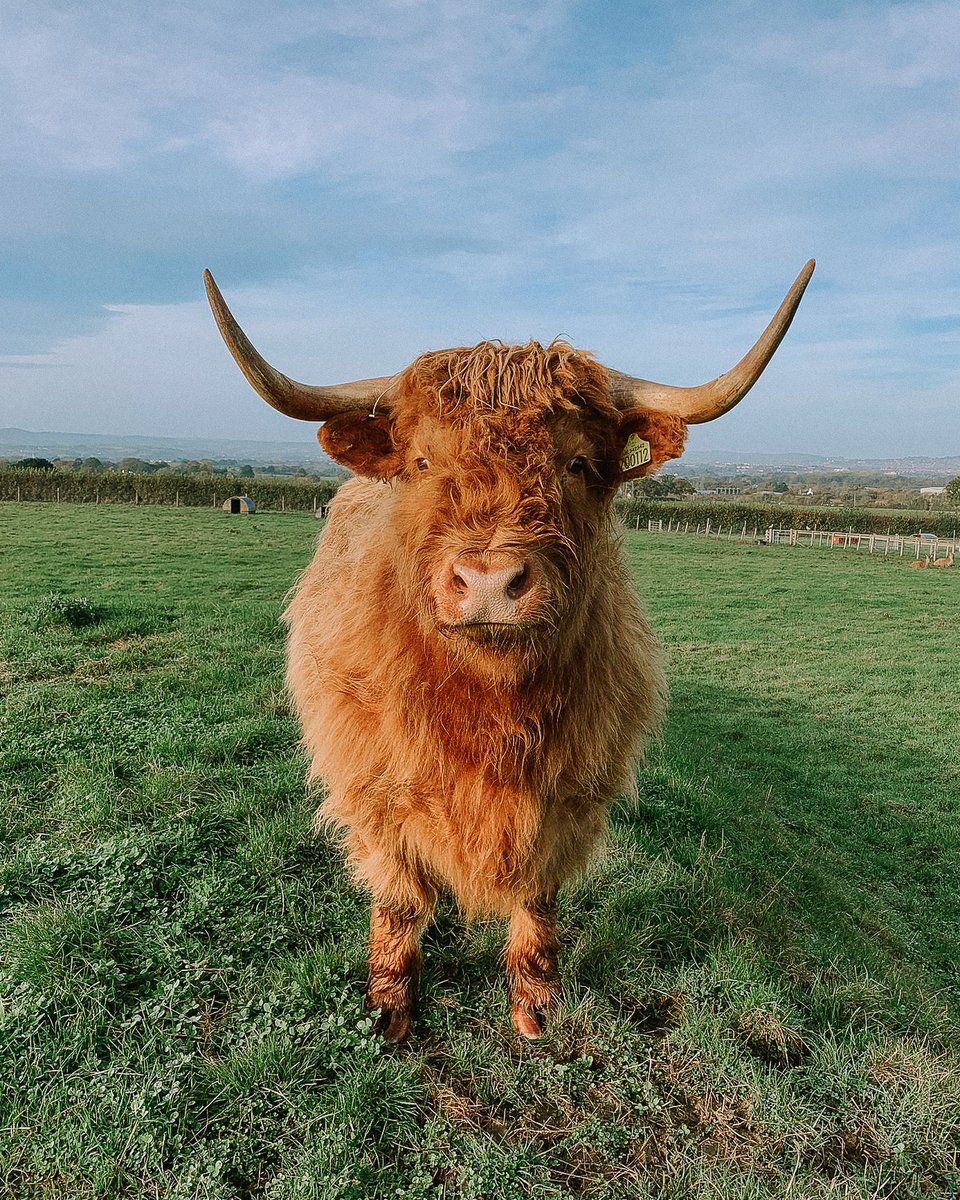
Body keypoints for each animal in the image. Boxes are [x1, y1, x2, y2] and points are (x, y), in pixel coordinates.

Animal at [204, 260, 814, 1041]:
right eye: (423, 461)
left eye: (578, 462)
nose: (490, 581)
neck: (490, 707)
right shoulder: (373, 783)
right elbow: (400, 896)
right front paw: (391, 1005)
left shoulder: (572, 791)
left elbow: (538, 894)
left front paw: (535, 1001)